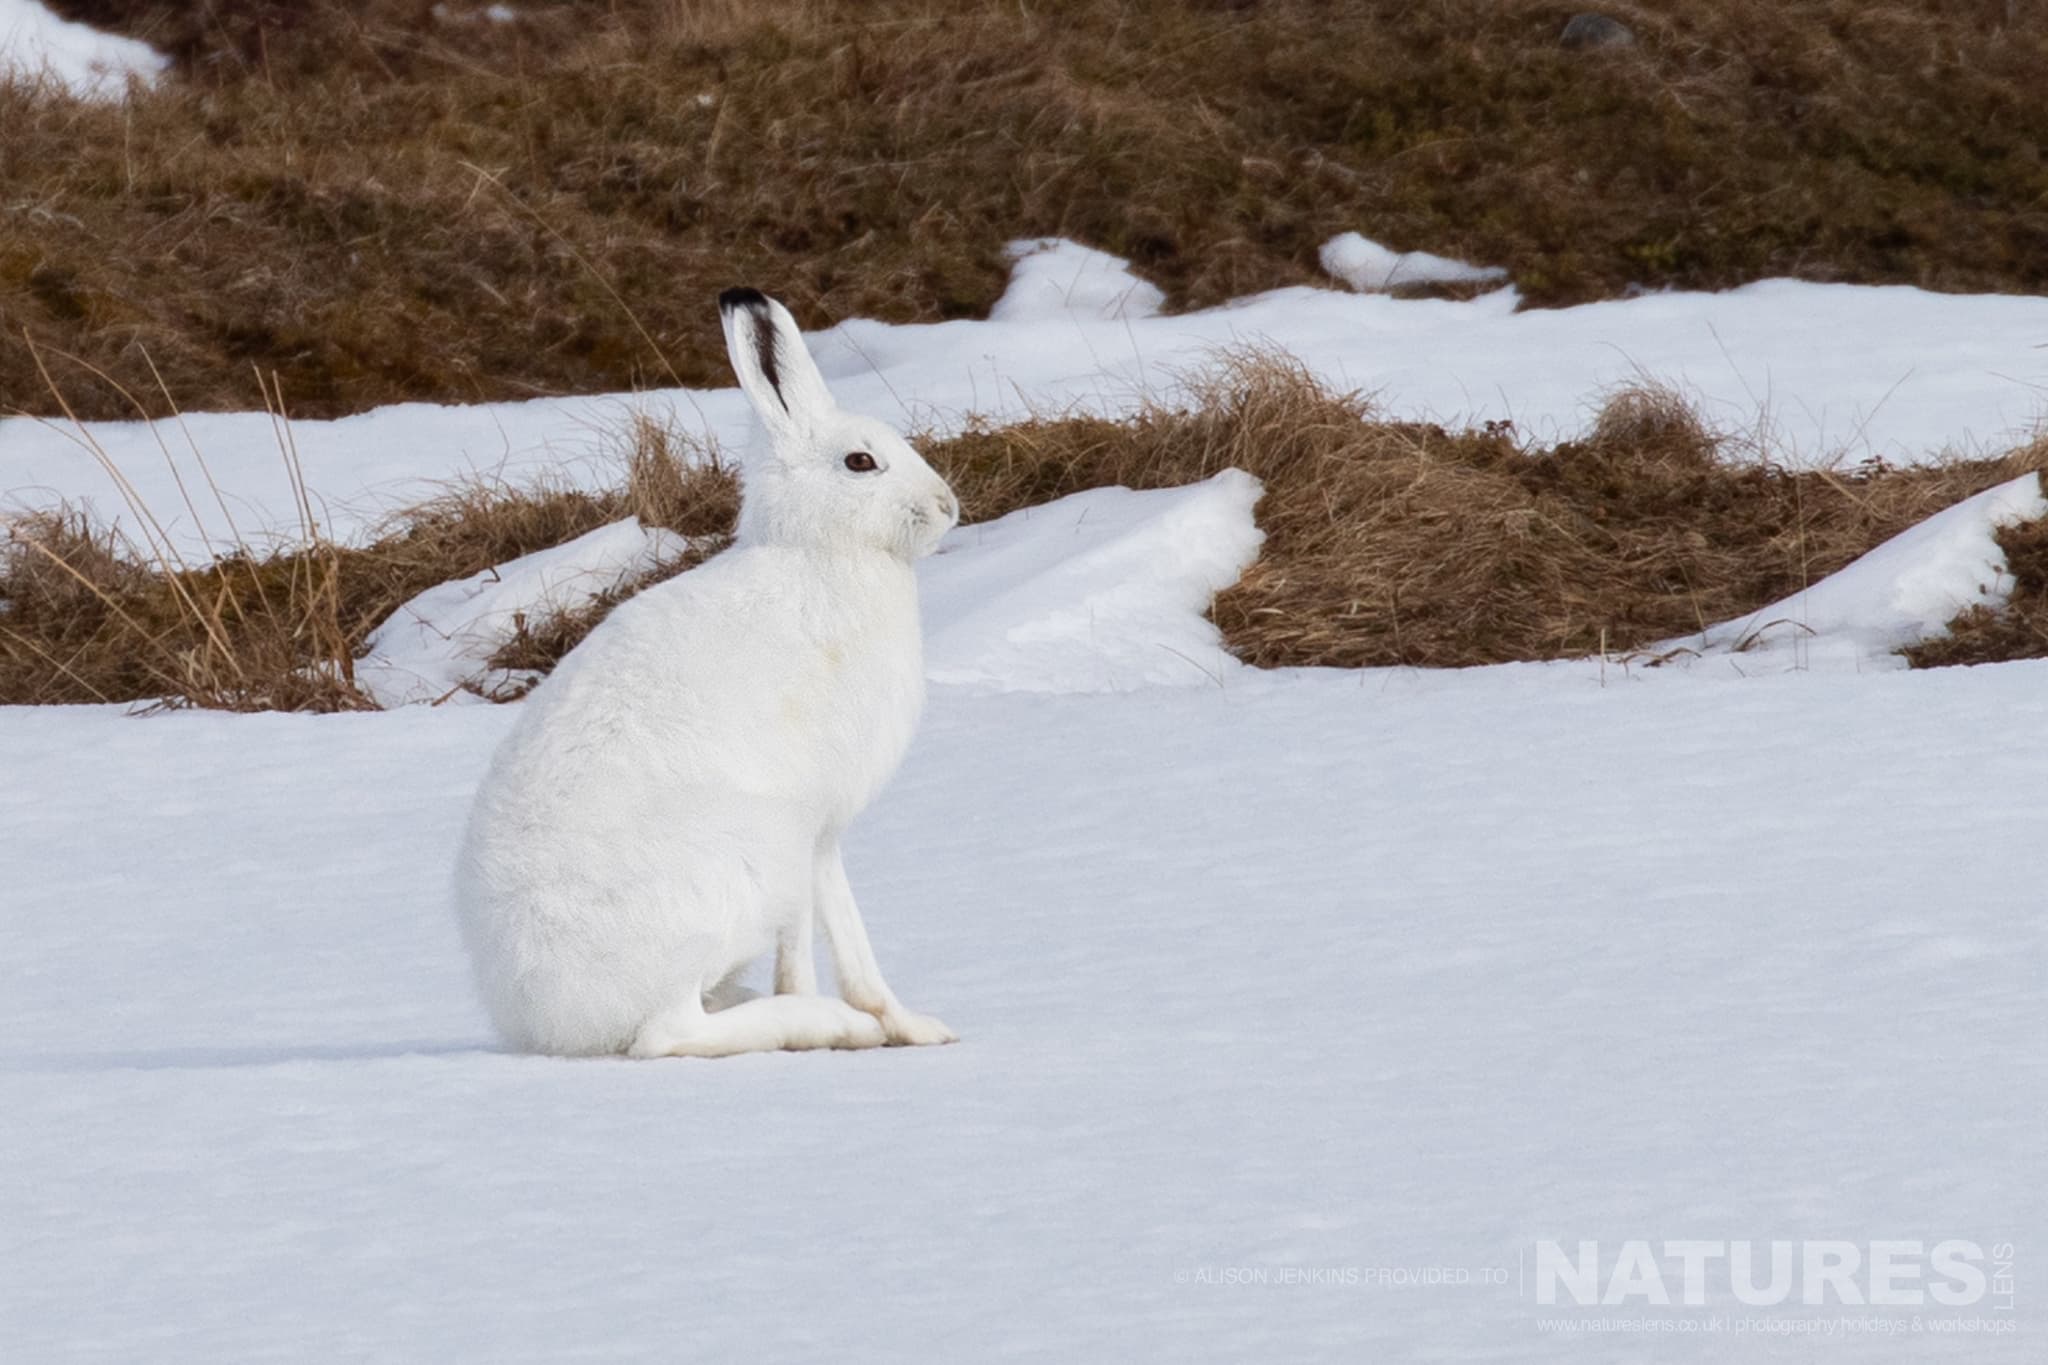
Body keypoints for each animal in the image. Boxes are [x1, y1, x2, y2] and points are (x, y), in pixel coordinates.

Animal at [453, 287, 960, 1058]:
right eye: (861, 461)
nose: (947, 508)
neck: (817, 553)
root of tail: (554, 1015)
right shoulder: (812, 824)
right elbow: (833, 929)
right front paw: (895, 1023)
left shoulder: (813, 837)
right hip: (736, 873)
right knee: (668, 1033)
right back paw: (820, 1022)